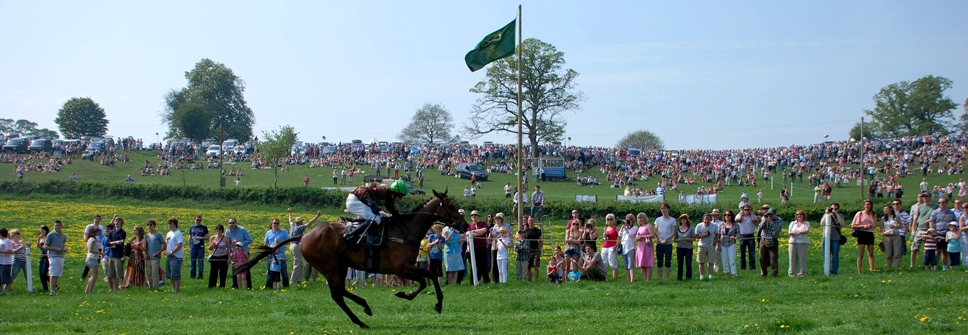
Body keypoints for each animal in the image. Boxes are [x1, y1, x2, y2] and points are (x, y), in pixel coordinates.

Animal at [238, 190, 472, 330]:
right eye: (450, 205)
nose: (465, 225)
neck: (405, 231)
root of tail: (303, 236)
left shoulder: (405, 268)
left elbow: (424, 281)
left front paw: (405, 294)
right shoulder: (401, 268)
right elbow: (430, 275)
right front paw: (437, 304)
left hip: (340, 266)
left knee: (340, 292)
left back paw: (363, 310)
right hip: (330, 266)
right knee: (337, 294)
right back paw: (361, 317)